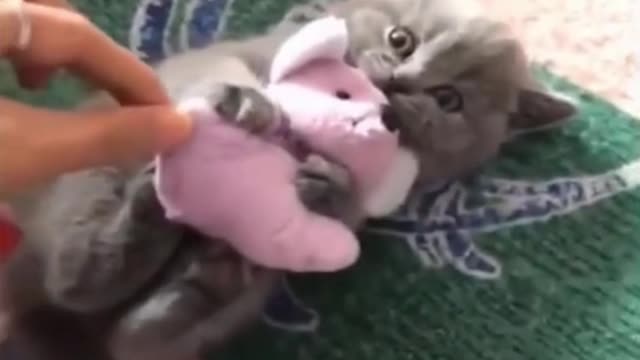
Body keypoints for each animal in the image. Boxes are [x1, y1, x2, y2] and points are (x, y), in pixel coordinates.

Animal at [2, 0, 576, 358]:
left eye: (449, 99)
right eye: (401, 39)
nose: (398, 79)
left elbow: (352, 206)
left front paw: (329, 186)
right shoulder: (215, 60)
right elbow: (228, 71)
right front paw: (247, 102)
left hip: (236, 301)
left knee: (135, 338)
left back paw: (209, 273)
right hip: (89, 167)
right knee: (75, 278)